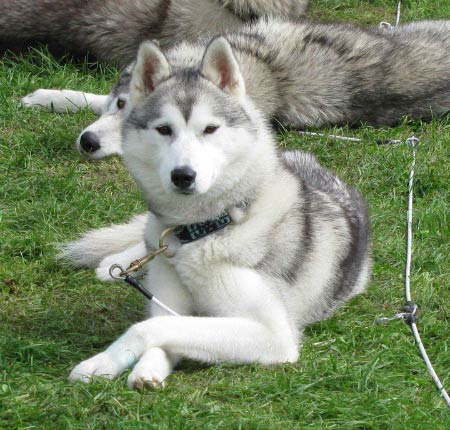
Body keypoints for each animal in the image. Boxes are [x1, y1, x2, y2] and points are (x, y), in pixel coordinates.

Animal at [67, 38, 370, 388]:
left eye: (210, 129)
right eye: (163, 129)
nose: (183, 175)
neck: (202, 230)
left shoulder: (273, 336)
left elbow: (150, 329)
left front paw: (108, 362)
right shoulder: (168, 304)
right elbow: (163, 328)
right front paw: (131, 365)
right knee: (146, 239)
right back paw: (118, 262)